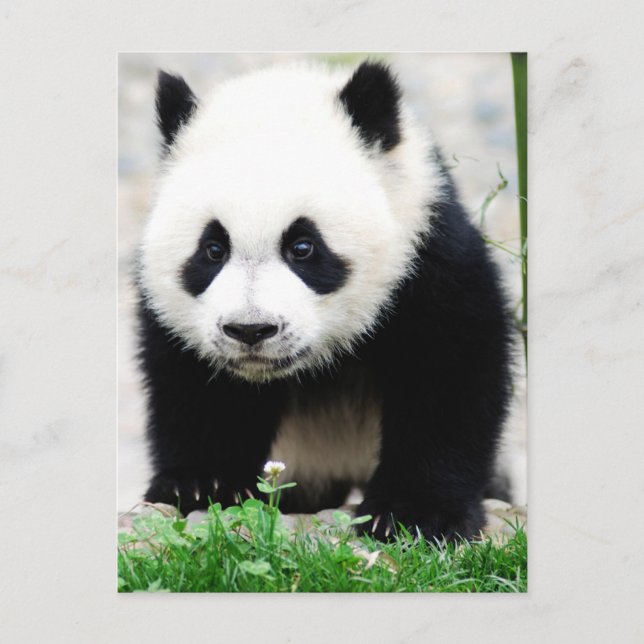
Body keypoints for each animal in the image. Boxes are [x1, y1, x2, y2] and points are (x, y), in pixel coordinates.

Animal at [137, 60, 514, 542]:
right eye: (213, 249)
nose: (251, 330)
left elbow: (449, 372)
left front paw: (413, 513)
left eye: (303, 246)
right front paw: (202, 483)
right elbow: (194, 386)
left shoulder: (427, 253)